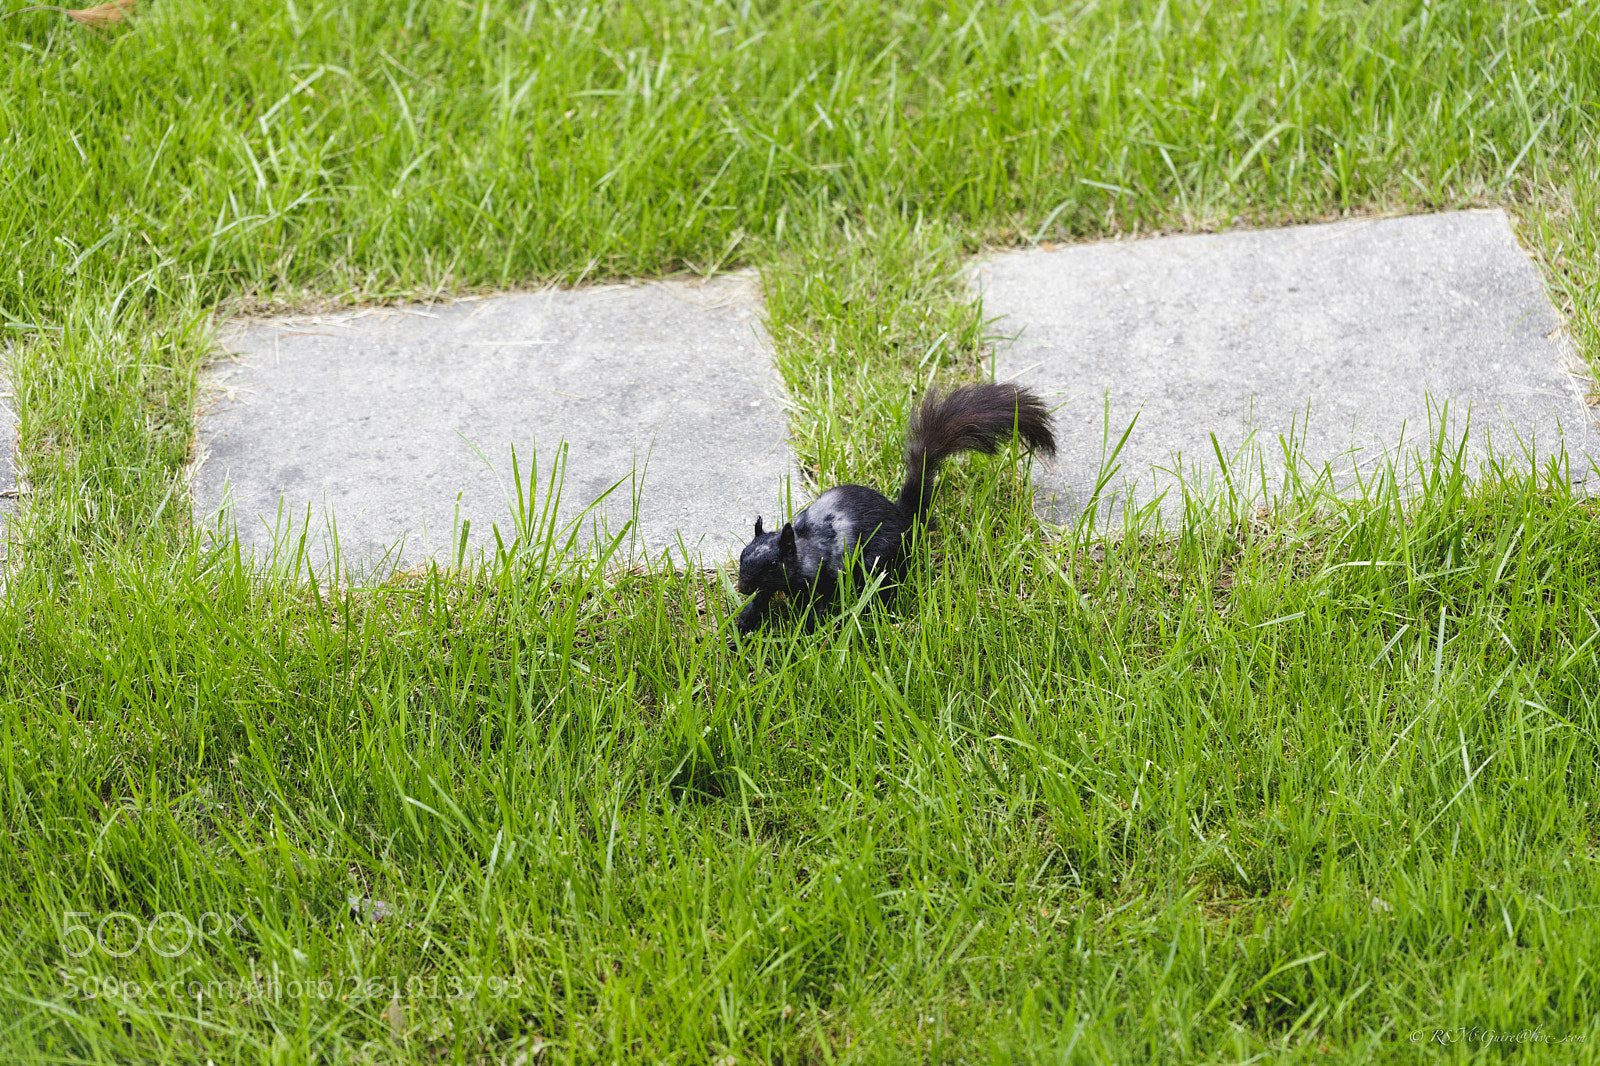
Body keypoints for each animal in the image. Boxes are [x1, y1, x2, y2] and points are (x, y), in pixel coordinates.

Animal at [732, 382, 1056, 638]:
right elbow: (761, 600)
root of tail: (904, 518)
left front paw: (806, 633)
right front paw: (740, 626)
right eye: (742, 555)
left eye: (774, 564)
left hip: (879, 560)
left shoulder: (821, 579)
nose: (742, 587)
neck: (804, 547)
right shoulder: (772, 586)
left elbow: (816, 608)